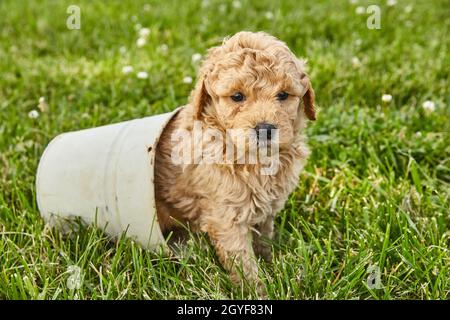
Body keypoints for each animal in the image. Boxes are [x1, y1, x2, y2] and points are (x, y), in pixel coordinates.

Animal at [155, 31, 316, 288]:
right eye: (237, 96)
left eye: (283, 95)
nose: (265, 129)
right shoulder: (225, 217)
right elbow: (242, 261)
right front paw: (257, 289)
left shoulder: (266, 210)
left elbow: (264, 240)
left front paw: (271, 263)